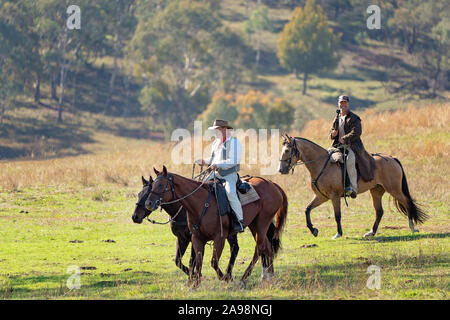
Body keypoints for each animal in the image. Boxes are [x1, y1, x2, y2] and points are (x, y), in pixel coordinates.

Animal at [146, 166, 288, 286]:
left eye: (161, 185)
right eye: (152, 185)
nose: (149, 203)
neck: (201, 203)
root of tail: (273, 185)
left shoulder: (219, 238)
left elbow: (213, 262)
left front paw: (225, 278)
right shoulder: (197, 238)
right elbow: (198, 262)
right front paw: (195, 284)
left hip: (262, 223)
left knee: (259, 248)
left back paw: (244, 277)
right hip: (254, 225)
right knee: (267, 247)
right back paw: (268, 276)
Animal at [278, 133, 428, 240]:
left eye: (287, 150)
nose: (281, 170)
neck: (322, 165)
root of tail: (392, 158)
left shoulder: (334, 197)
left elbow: (337, 215)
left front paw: (338, 234)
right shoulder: (321, 197)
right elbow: (307, 209)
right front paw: (313, 230)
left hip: (394, 190)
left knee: (407, 203)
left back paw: (412, 227)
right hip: (376, 191)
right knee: (379, 211)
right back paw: (371, 232)